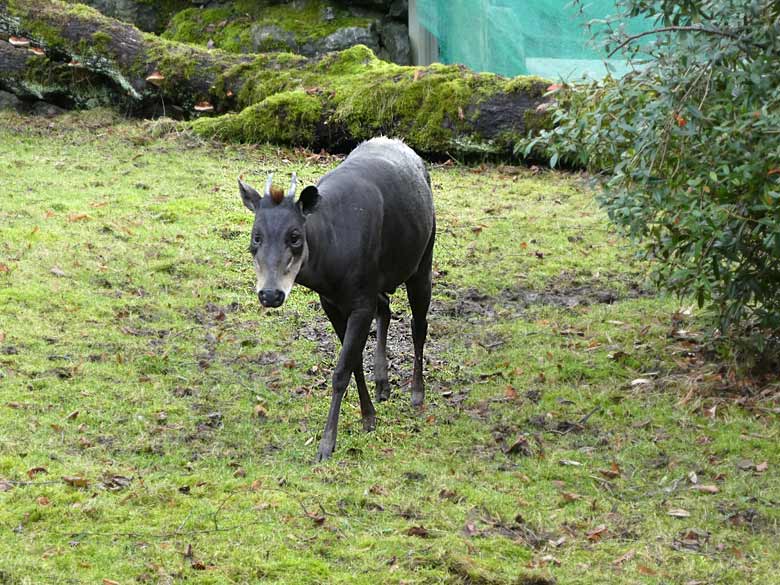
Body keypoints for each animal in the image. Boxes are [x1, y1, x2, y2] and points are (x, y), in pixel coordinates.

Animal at [239, 137, 432, 460]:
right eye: (256, 236)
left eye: (295, 236)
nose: (270, 294)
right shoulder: (331, 301)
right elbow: (353, 361)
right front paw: (368, 417)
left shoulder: (361, 300)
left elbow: (342, 369)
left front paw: (327, 443)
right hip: (380, 280)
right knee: (386, 307)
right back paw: (383, 384)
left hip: (422, 258)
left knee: (419, 325)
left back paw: (417, 392)